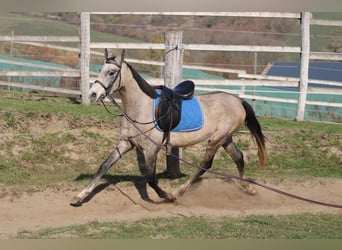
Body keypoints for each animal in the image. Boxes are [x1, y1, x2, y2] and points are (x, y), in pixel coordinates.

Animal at [71, 49, 266, 206]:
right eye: (100, 70)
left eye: (111, 72)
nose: (93, 94)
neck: (140, 108)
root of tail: (238, 101)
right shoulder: (126, 143)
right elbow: (104, 166)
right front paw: (80, 196)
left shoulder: (151, 149)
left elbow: (151, 179)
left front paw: (168, 196)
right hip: (225, 138)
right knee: (239, 157)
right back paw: (248, 188)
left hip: (216, 140)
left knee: (205, 165)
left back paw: (179, 192)